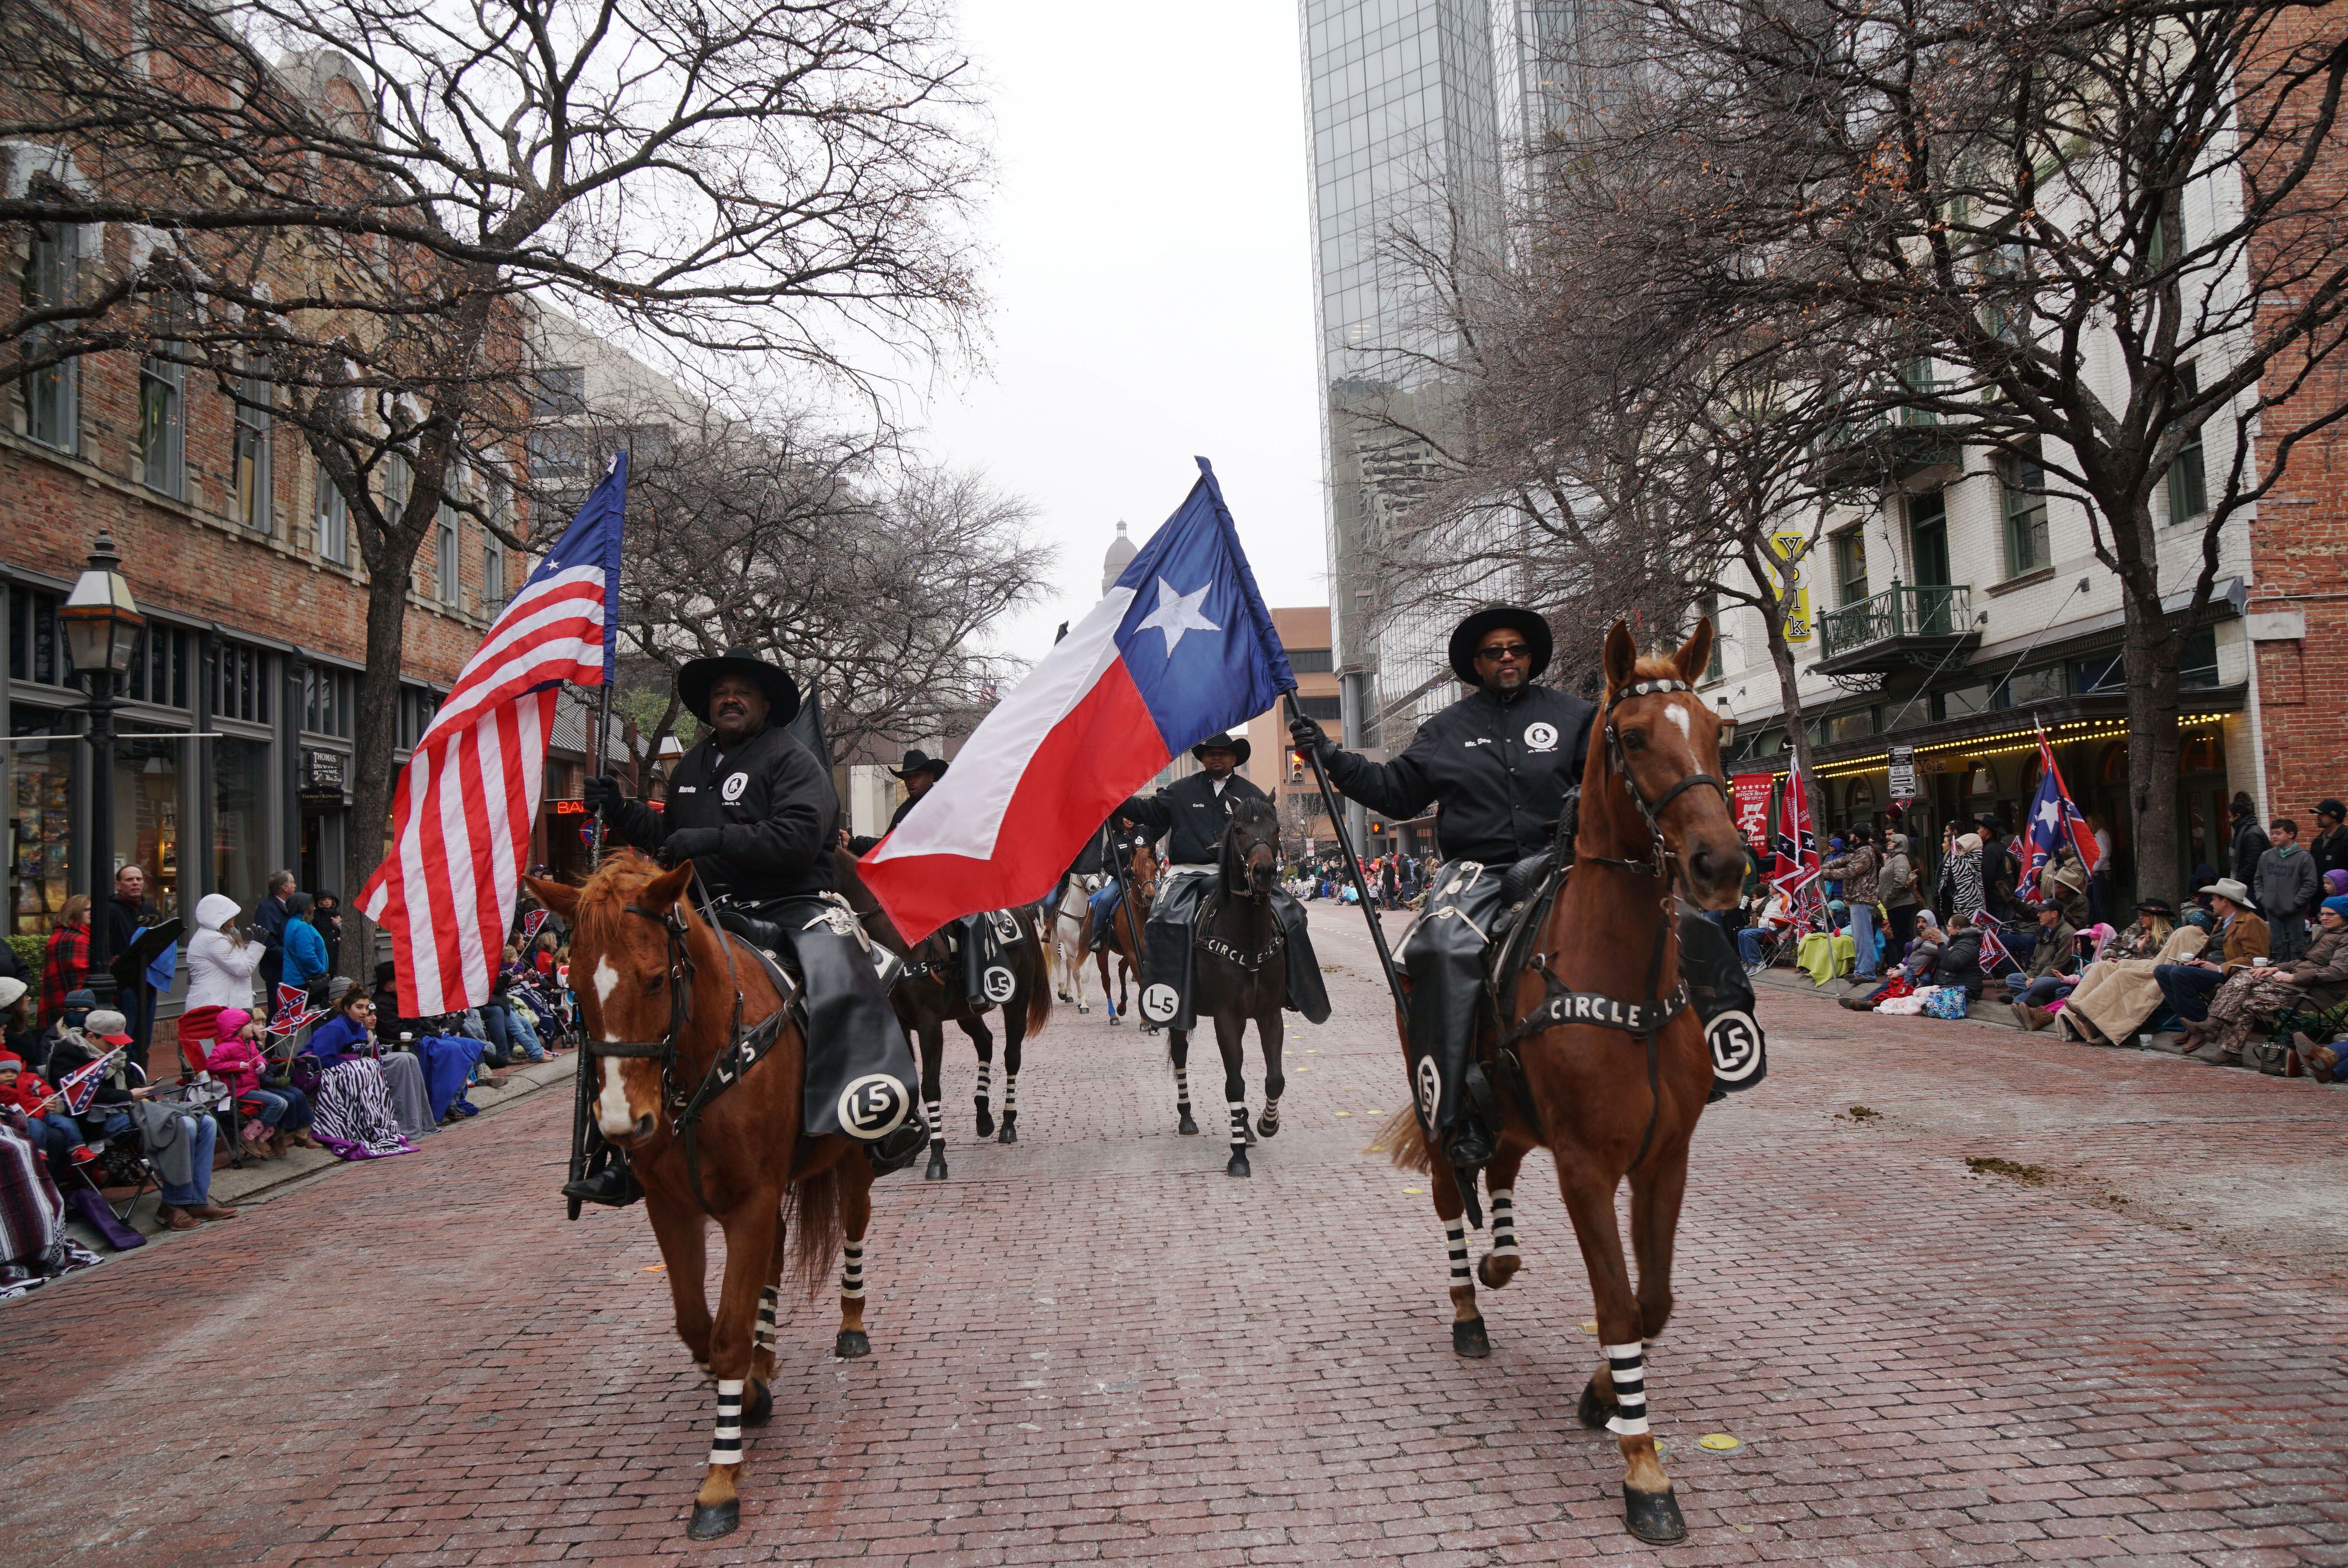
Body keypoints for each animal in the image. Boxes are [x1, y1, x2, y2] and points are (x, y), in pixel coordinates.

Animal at [523, 849, 873, 1540]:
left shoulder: (751, 1201)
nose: (622, 1124)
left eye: (656, 980)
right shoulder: (675, 1207)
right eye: (576, 993)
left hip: (852, 1157)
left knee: (852, 1223)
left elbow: (728, 1335)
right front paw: (750, 1393)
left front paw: (719, 1482)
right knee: (774, 1261)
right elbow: (699, 1326)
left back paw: (850, 1323)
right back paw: (766, 1364)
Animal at [826, 849, 1047, 1183]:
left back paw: (1008, 1123)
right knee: (985, 1041)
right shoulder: (900, 1025)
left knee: (1012, 1056)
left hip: (1016, 1004)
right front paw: (906, 1146)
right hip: (965, 1012)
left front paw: (937, 1155)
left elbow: (930, 1085)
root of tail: (1021, 912)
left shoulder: (929, 1024)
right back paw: (983, 1117)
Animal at [1056, 868, 1108, 1018]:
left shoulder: (1088, 947)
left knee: (1068, 965)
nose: (1095, 887)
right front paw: (1081, 1000)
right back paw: (1063, 991)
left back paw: (1068, 994)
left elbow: (1084, 975)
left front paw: (1084, 1003)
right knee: (1057, 961)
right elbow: (1076, 973)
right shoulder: (1069, 946)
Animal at [1169, 798, 1296, 1173]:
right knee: (1180, 1052)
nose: (1264, 872)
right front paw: (1237, 1154)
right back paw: (1187, 1117)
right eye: (1239, 829)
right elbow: (1234, 1083)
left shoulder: (1269, 1014)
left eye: (1277, 828)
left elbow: (1274, 1078)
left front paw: (1267, 1123)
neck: (1249, 938)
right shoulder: (1226, 1017)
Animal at [1371, 620, 1747, 1549]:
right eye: (1634, 737)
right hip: (1440, 1107)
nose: (1721, 864)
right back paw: (1470, 1310)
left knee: (1502, 1166)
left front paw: (1603, 1394)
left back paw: (1503, 1256)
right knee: (1453, 1195)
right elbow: (1617, 1308)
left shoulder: (1664, 1160)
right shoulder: (1587, 1167)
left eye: (1716, 730)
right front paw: (1645, 1472)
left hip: (1509, 1110)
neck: (1628, 983)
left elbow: (1654, 1301)